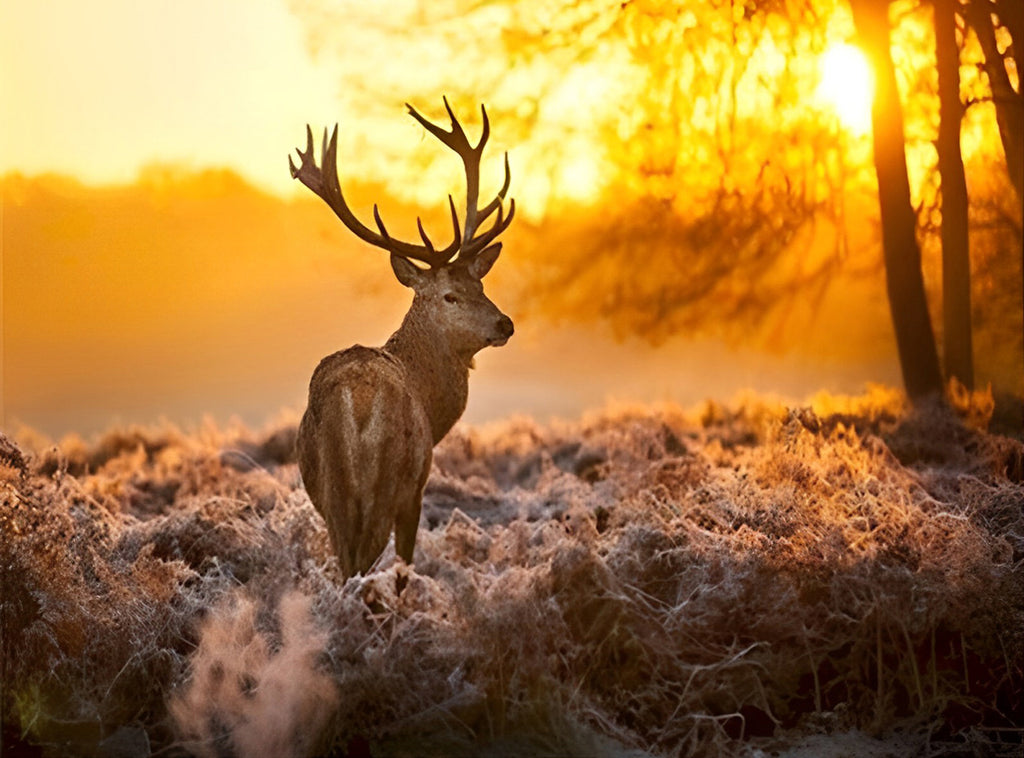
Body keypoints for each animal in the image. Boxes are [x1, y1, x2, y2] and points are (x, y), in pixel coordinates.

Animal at [286, 97, 512, 577]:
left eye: (481, 284)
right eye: (449, 295)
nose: (506, 324)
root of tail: (357, 404)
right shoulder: (417, 487)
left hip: (331, 492)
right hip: (387, 485)